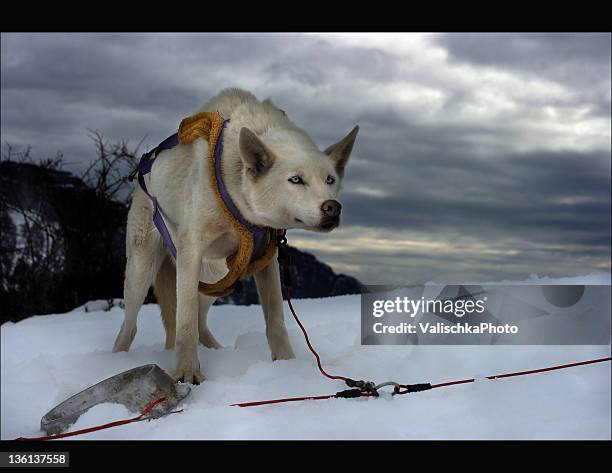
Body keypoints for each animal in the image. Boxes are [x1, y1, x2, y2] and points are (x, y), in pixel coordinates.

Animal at [113, 88, 358, 384]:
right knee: (131, 326)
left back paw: (217, 351)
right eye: (296, 179)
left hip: (215, 277)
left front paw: (286, 366)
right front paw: (187, 373)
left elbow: (275, 320)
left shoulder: (267, 259)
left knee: (201, 321)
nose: (332, 207)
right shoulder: (190, 252)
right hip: (143, 270)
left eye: (330, 180)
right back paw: (116, 360)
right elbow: (185, 324)